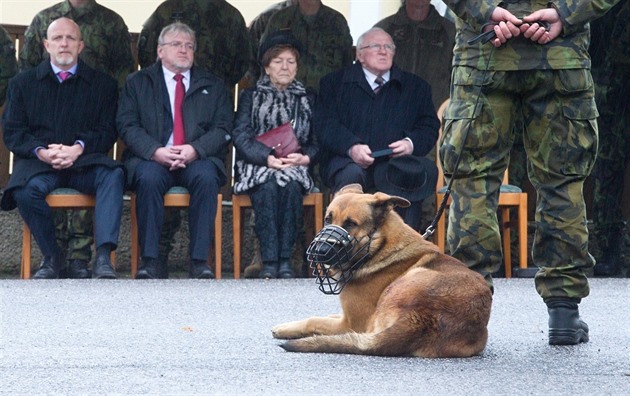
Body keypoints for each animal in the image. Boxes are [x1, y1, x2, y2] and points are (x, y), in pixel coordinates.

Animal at [272, 184, 494, 358]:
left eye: (351, 224)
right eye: (328, 219)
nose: (319, 251)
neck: (379, 246)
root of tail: (419, 320)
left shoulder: (351, 323)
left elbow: (314, 320)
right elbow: (325, 315)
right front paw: (286, 327)